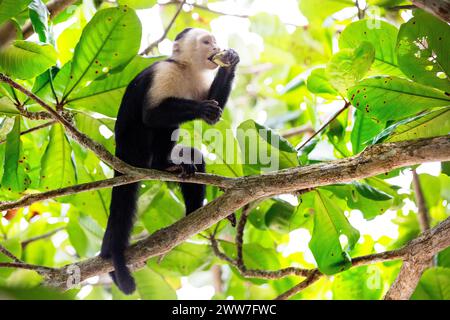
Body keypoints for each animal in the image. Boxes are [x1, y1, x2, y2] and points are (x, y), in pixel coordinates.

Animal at [99, 28, 239, 294]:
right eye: (207, 41)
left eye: (214, 42)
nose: (216, 47)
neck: (186, 69)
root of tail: (121, 155)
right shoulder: (165, 73)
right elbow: (152, 115)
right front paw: (202, 108)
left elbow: (213, 113)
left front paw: (230, 61)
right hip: (135, 148)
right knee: (155, 124)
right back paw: (159, 165)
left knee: (194, 158)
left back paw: (192, 204)